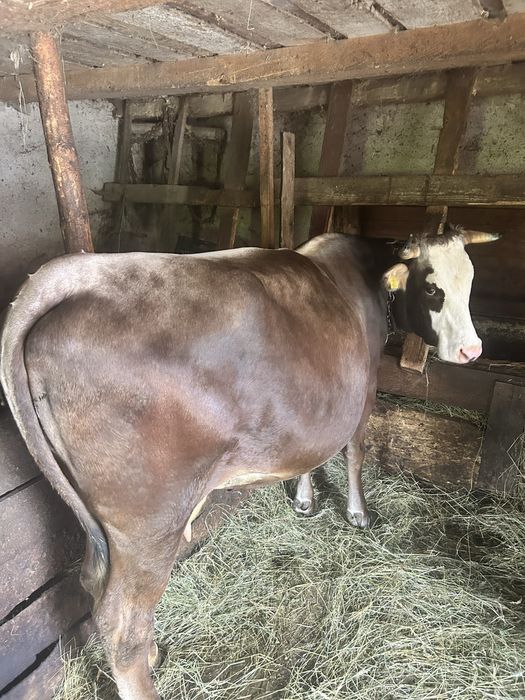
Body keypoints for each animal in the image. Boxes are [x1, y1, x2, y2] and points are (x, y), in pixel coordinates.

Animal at [0, 226, 498, 700]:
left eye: (473, 280)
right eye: (432, 287)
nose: (473, 351)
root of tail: (80, 275)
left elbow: (310, 453)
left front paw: (304, 501)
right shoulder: (365, 391)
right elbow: (355, 451)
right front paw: (357, 513)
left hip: (103, 525)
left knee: (92, 581)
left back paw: (154, 651)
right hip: (148, 522)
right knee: (123, 624)